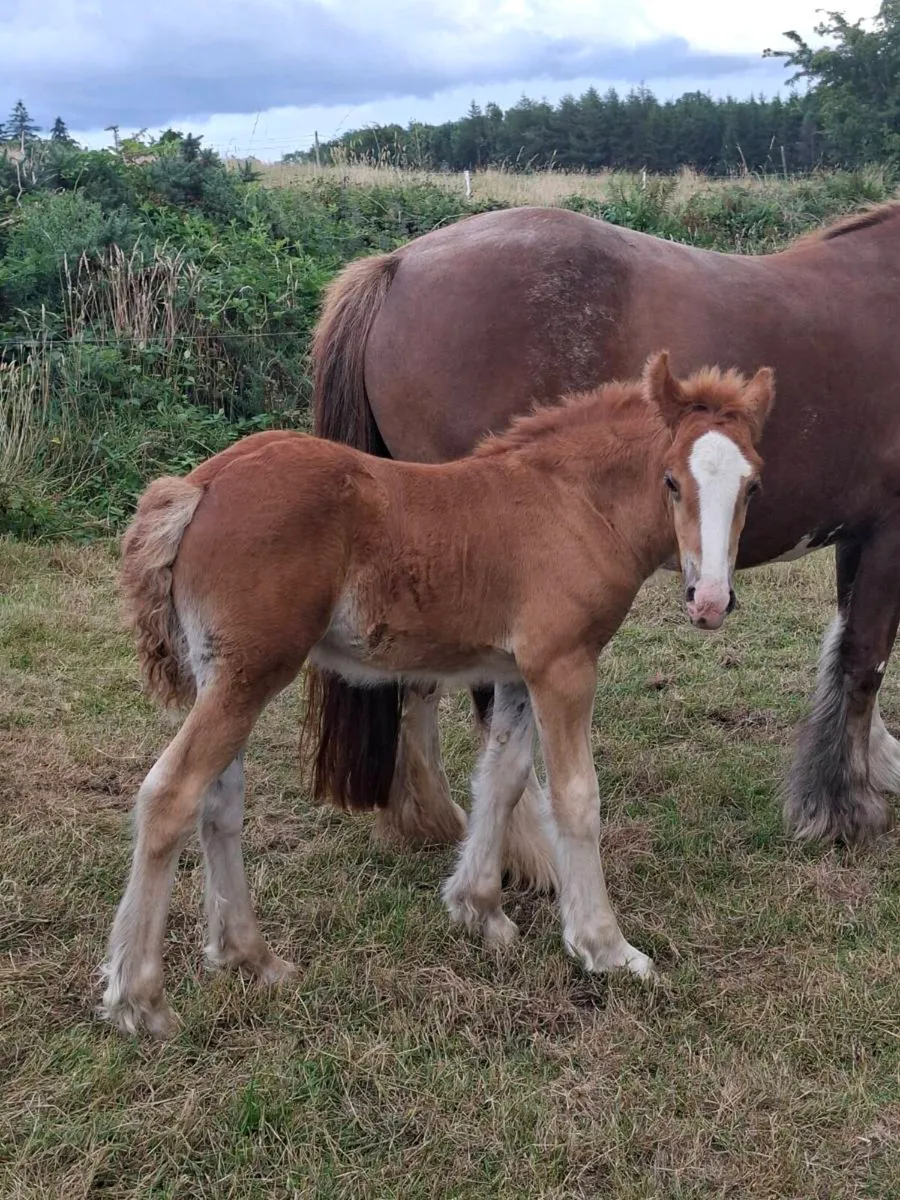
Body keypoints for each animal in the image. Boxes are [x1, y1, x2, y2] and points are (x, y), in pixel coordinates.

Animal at [100, 352, 772, 1036]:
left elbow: (502, 777)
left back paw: (252, 958)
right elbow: (576, 797)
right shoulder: (563, 665)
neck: (572, 503)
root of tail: (200, 486)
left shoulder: (516, 671)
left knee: (219, 803)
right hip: (249, 673)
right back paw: (141, 998)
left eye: (752, 487)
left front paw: (481, 910)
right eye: (671, 481)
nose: (710, 601)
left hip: (227, 676)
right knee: (171, 795)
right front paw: (606, 947)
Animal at [304, 200, 900, 866]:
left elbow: (844, 645)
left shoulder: (859, 534)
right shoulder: (890, 533)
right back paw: (528, 848)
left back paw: (426, 816)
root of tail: (399, 265)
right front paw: (847, 810)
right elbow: (864, 662)